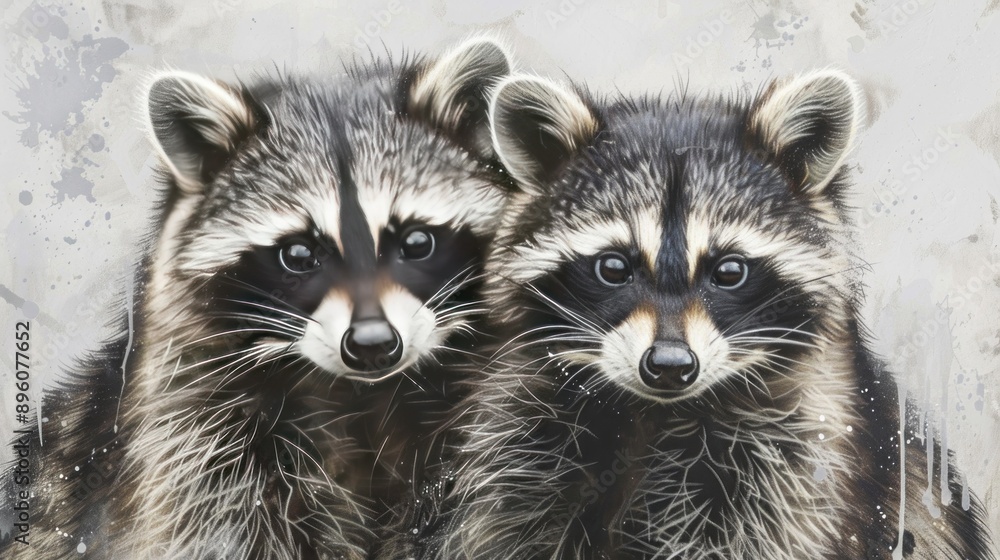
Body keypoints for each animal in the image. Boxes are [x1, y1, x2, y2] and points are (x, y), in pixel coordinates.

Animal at [2, 38, 511, 559]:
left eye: (416, 241)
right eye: (299, 253)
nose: (372, 345)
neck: (364, 394)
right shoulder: (194, 430)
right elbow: (219, 523)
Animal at [427, 72, 997, 559]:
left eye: (729, 271)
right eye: (613, 266)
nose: (669, 365)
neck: (652, 411)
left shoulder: (804, 451)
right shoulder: (523, 438)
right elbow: (510, 524)